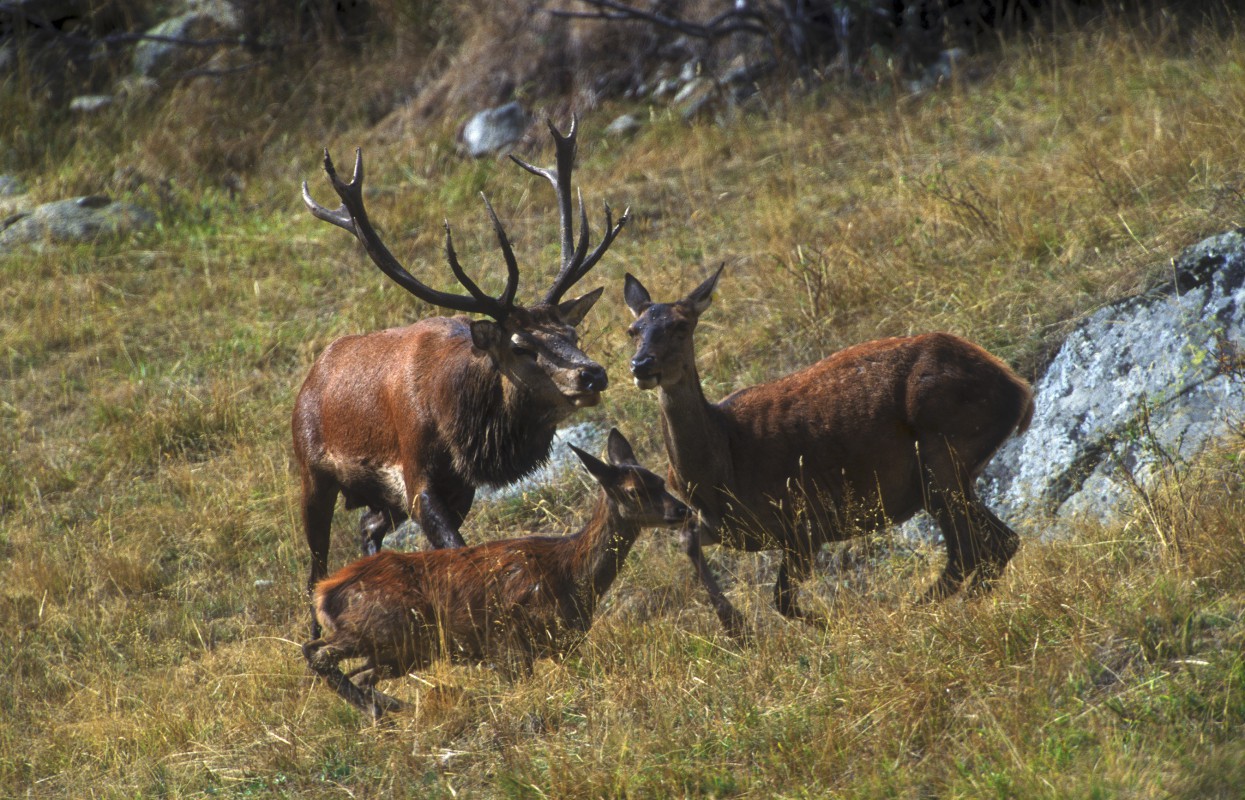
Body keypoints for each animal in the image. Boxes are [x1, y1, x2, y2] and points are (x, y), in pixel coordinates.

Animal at [296, 117, 627, 637]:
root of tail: (312, 376)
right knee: (315, 562)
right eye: (521, 346)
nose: (592, 373)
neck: (461, 424)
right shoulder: (417, 475)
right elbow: (456, 550)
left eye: (572, 331)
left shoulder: (461, 486)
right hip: (311, 471)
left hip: (380, 498)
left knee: (367, 527)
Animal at [302, 432, 692, 721]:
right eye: (634, 491)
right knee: (315, 651)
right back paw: (382, 709)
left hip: (401, 649)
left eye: (660, 479)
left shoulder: (560, 645)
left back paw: (390, 707)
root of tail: (324, 592)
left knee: (360, 674)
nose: (682, 509)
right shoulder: (508, 644)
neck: (571, 573)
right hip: (383, 626)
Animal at [627, 266, 1035, 641]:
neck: (720, 468)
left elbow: (782, 599)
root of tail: (1020, 389)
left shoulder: (804, 520)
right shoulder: (729, 528)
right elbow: (688, 541)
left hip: (943, 456)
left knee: (981, 548)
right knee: (987, 546)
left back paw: (913, 616)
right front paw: (736, 627)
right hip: (944, 476)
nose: (641, 364)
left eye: (682, 326)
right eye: (633, 330)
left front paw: (830, 626)